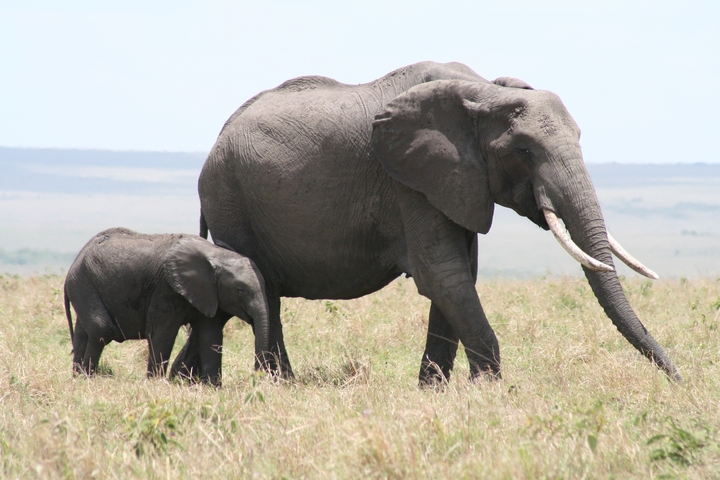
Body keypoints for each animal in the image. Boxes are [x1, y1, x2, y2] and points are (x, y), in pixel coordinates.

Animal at [64, 227, 270, 385]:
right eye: (240, 290)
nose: (258, 378)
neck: (214, 254)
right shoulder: (166, 289)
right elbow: (162, 333)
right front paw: (155, 384)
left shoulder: (207, 295)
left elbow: (210, 335)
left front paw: (213, 388)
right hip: (83, 284)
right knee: (102, 330)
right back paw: (88, 378)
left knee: (83, 334)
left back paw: (77, 377)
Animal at [173, 61, 679, 385]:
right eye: (525, 151)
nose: (676, 379)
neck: (484, 91)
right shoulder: (408, 181)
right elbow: (443, 274)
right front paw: (488, 390)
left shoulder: (456, 182)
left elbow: (457, 277)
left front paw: (434, 390)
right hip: (230, 196)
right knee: (259, 289)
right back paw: (278, 385)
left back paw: (184, 381)